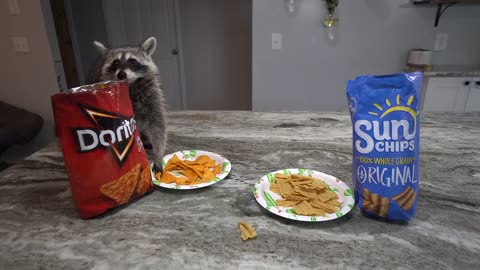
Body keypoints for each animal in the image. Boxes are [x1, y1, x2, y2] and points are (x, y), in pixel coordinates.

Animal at [88, 37, 167, 170]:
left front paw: (158, 153)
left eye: (133, 61)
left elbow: (157, 124)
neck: (130, 85)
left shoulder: (152, 95)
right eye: (115, 62)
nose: (121, 74)